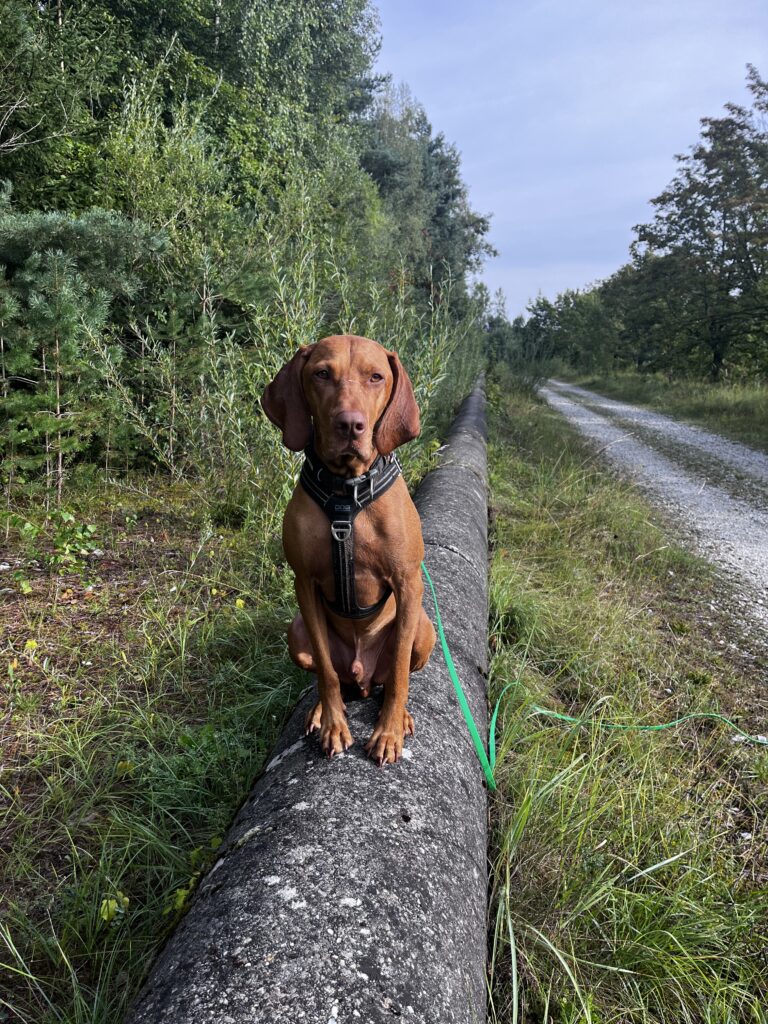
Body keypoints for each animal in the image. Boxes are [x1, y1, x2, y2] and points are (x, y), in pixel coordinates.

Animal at [264, 331, 434, 765]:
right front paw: (333, 724)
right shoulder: (304, 583)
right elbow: (324, 671)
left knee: (392, 675)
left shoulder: (408, 583)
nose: (350, 424)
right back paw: (322, 710)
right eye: (322, 374)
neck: (347, 490)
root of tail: (361, 674)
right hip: (297, 631)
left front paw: (388, 731)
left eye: (376, 377)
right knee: (334, 678)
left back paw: (400, 713)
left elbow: (400, 674)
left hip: (425, 628)